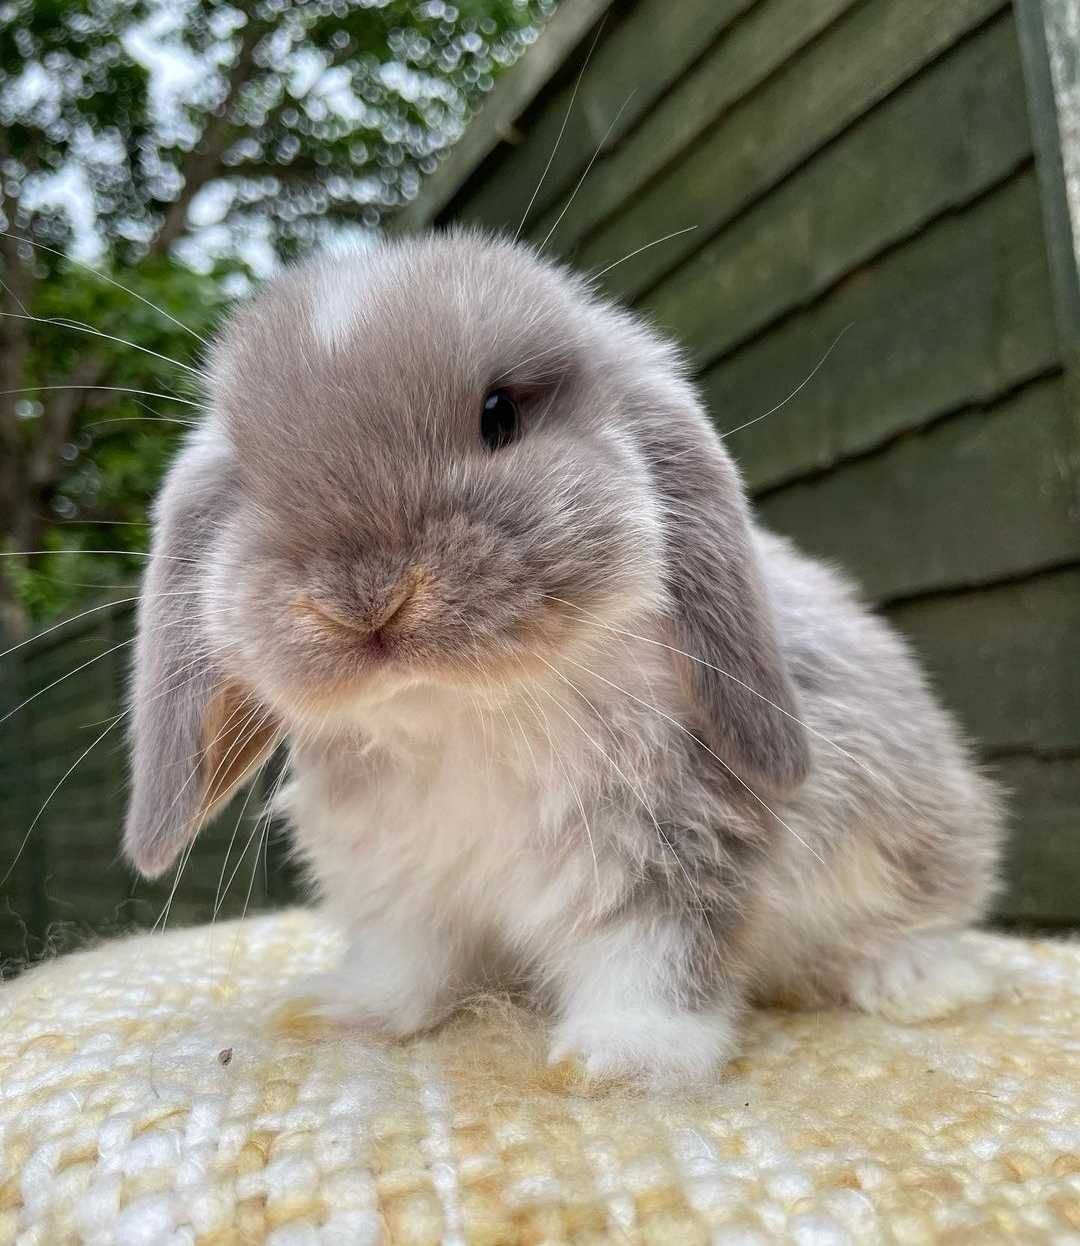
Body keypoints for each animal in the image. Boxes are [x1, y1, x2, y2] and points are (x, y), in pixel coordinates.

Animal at [124, 229, 1006, 1086]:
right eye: (247, 475)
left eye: (500, 415)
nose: (364, 599)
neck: (462, 715)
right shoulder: (403, 887)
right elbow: (405, 965)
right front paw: (343, 1011)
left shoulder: (675, 845)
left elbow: (654, 956)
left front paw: (622, 1060)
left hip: (923, 841)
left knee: (923, 920)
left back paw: (919, 984)